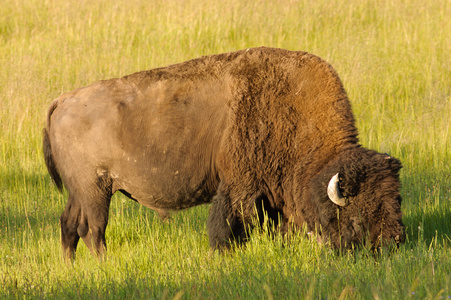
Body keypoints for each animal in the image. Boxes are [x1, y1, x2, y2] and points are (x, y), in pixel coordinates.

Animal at [43, 47, 406, 260]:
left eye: (396, 203)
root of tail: (62, 100)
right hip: (96, 191)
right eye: (357, 214)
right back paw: (104, 264)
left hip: (80, 192)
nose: (393, 244)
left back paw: (71, 267)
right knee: (93, 229)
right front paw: (222, 255)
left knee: (69, 225)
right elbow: (227, 225)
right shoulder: (239, 186)